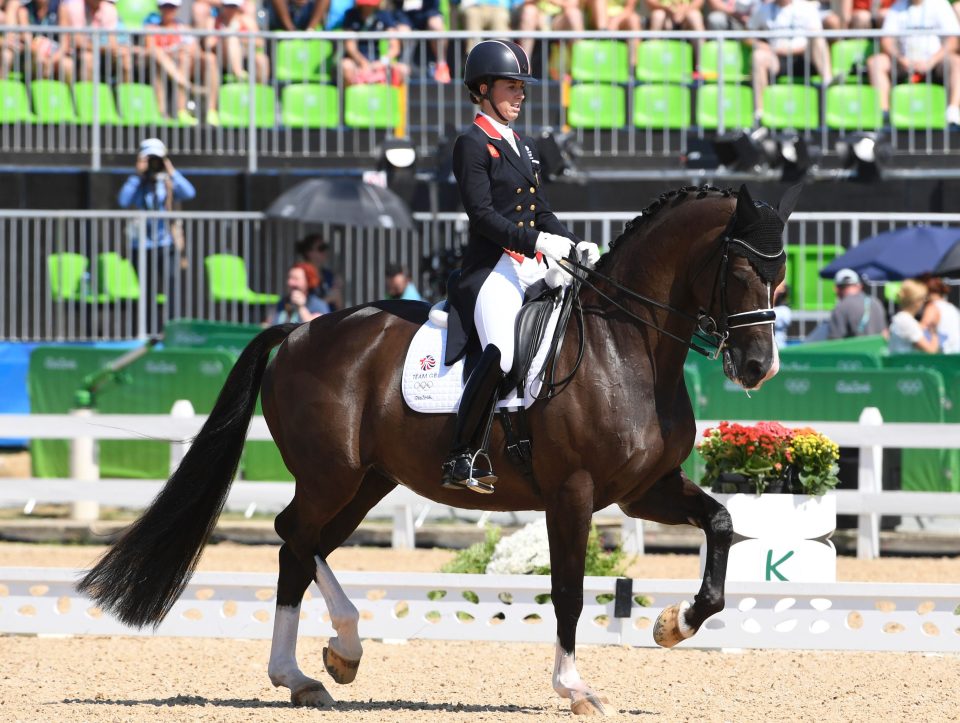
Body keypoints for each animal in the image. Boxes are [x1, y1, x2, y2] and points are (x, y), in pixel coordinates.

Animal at [77, 184, 796, 716]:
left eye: (781, 274)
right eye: (740, 269)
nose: (757, 366)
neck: (626, 347)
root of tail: (300, 330)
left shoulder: (644, 488)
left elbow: (722, 523)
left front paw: (675, 623)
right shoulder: (574, 493)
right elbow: (567, 589)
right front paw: (575, 688)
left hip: (368, 480)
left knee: (298, 545)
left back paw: (326, 663)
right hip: (332, 475)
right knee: (295, 537)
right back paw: (315, 662)